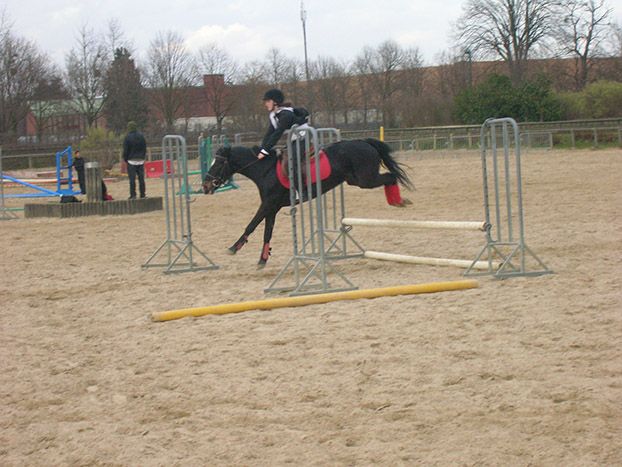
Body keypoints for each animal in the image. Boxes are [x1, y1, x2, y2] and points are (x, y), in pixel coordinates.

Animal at [202, 138, 413, 268]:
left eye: (218, 163)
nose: (205, 186)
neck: (264, 169)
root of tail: (364, 142)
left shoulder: (268, 204)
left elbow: (251, 225)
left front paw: (233, 248)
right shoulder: (273, 208)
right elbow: (266, 232)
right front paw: (262, 259)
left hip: (365, 180)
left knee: (390, 176)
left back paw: (398, 201)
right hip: (355, 180)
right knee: (389, 176)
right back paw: (398, 201)